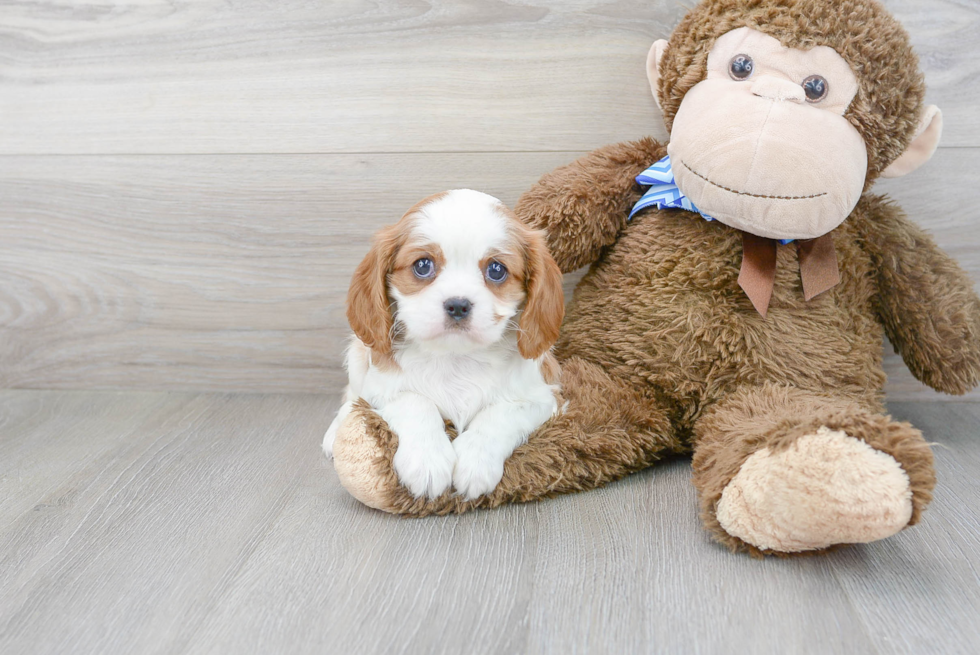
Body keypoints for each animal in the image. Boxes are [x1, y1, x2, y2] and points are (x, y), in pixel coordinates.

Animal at [324, 192, 564, 500]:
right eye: (423, 265)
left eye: (496, 270)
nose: (458, 305)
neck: (456, 357)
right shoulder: (382, 391)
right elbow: (415, 402)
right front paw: (427, 462)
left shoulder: (541, 398)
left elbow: (501, 415)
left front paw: (475, 462)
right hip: (357, 355)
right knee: (352, 395)